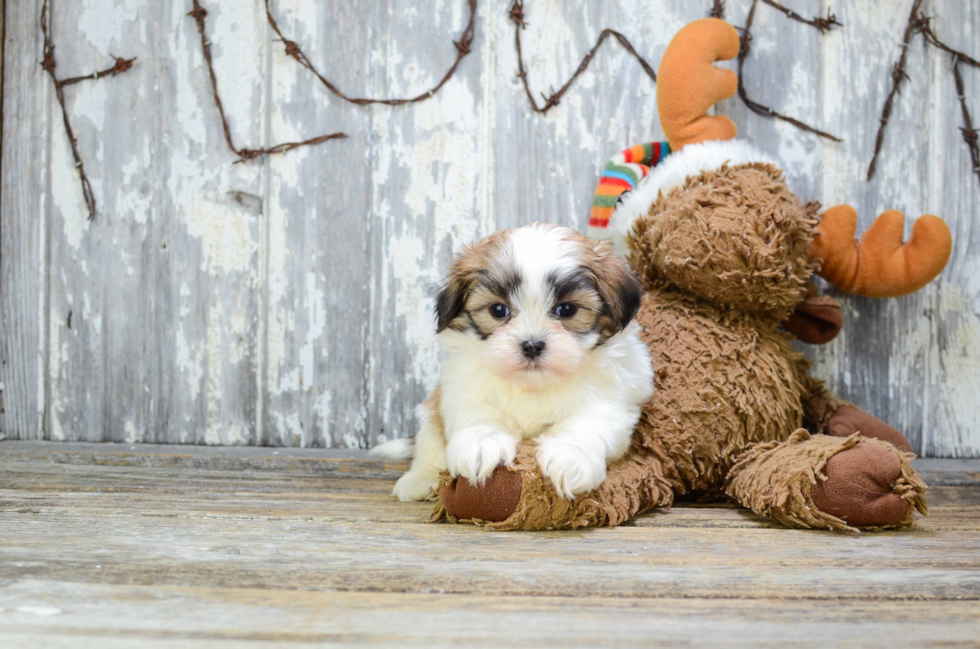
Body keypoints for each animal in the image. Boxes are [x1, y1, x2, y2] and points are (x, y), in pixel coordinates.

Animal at [372, 223, 656, 502]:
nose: (532, 345)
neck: (532, 384)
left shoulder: (614, 398)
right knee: (429, 441)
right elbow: (477, 413)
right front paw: (481, 446)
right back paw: (420, 480)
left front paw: (571, 458)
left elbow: (588, 423)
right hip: (430, 412)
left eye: (567, 310)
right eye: (498, 310)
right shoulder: (462, 388)